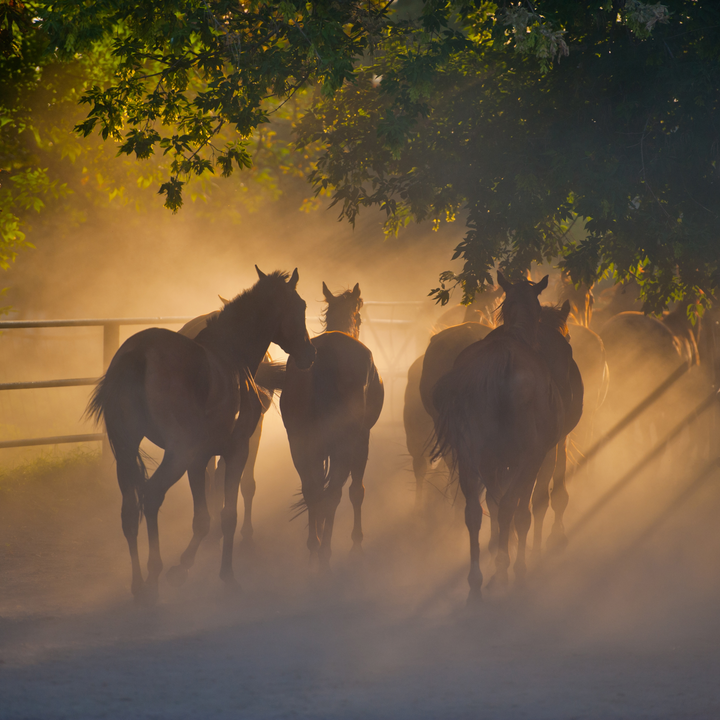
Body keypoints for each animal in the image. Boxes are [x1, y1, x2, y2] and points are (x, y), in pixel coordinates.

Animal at [86, 268, 316, 600]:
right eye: (300, 306)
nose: (310, 353)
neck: (231, 356)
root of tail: (139, 354)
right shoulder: (235, 451)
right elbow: (227, 515)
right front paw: (223, 575)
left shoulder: (200, 458)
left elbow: (203, 519)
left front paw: (183, 569)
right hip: (177, 454)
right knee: (152, 496)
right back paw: (153, 578)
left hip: (129, 452)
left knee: (129, 513)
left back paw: (139, 585)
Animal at [278, 282, 386, 568]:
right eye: (359, 316)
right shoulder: (362, 439)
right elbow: (356, 491)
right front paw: (356, 543)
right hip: (344, 444)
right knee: (334, 492)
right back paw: (325, 551)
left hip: (299, 443)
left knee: (311, 490)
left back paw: (314, 547)